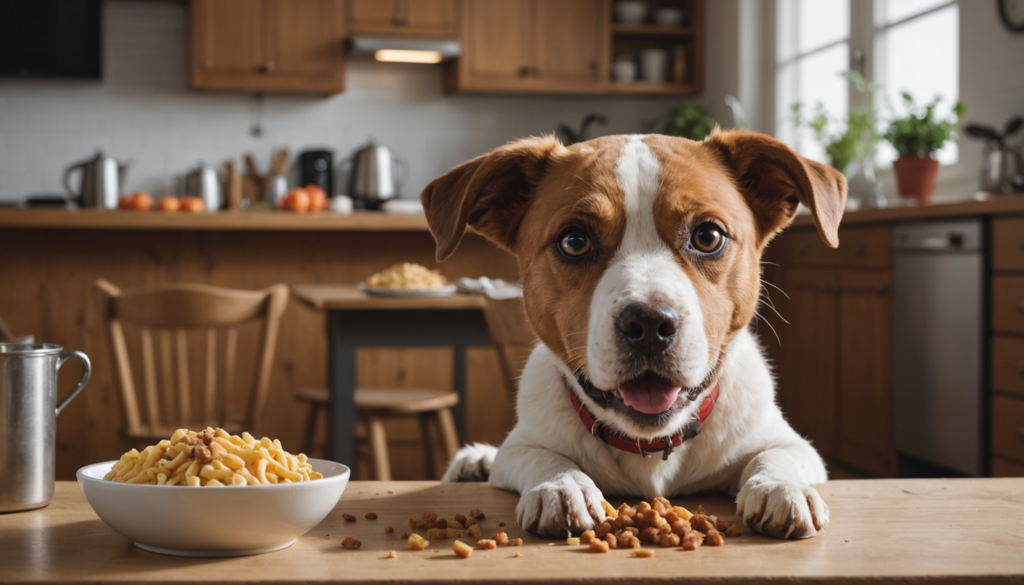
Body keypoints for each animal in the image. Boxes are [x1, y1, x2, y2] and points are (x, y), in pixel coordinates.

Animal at [419, 131, 843, 540]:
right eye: (574, 241)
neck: (650, 445)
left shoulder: (794, 445)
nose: (650, 325)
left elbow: (777, 454)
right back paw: (474, 461)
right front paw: (560, 485)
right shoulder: (520, 447)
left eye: (708, 236)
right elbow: (541, 455)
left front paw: (780, 487)